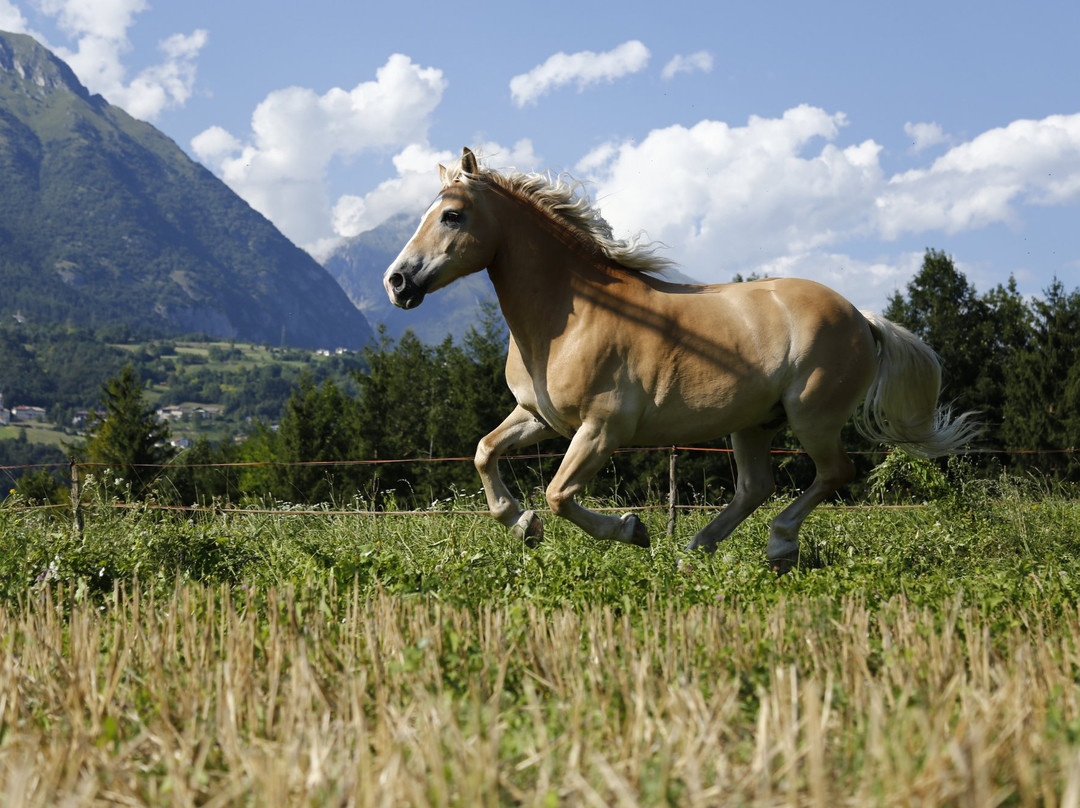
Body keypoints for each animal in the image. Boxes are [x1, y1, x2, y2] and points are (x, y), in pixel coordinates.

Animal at [384, 147, 984, 570]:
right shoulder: (541, 418)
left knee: (834, 472)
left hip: (812, 416)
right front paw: (520, 523)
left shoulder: (603, 428)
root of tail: (861, 316)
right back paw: (696, 550)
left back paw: (776, 545)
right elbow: (484, 452)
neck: (571, 315)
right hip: (753, 423)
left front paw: (631, 530)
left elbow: (558, 494)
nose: (397, 282)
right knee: (756, 487)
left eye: (452, 216)